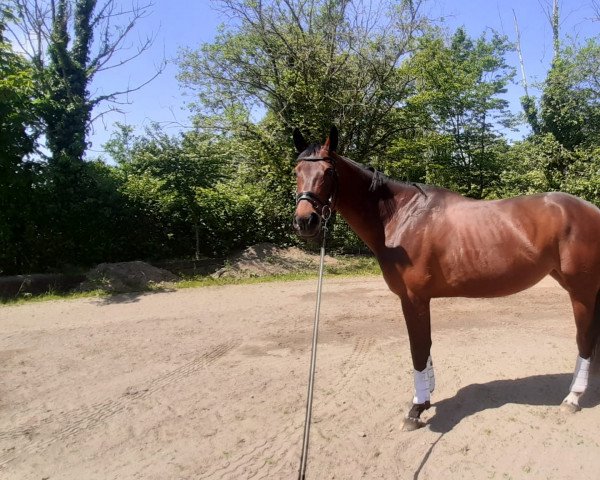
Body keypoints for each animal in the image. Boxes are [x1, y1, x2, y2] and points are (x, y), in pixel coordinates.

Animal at [292, 125, 600, 430]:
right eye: (296, 170)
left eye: (328, 172)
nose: (305, 221)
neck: (402, 217)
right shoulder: (418, 300)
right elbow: (425, 346)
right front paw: (426, 394)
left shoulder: (413, 298)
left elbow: (418, 349)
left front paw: (416, 408)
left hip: (581, 291)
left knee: (584, 339)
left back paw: (572, 398)